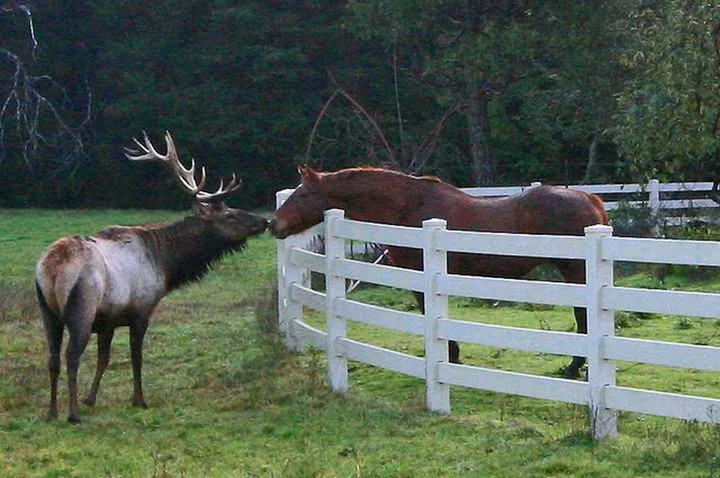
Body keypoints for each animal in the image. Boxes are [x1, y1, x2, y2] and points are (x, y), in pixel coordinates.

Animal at [35, 132, 268, 423]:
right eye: (229, 214)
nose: (264, 221)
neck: (165, 264)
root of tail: (51, 267)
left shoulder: (108, 320)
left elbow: (104, 358)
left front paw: (91, 399)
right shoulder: (141, 309)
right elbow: (136, 357)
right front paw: (139, 400)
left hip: (47, 311)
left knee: (53, 357)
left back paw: (52, 411)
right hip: (82, 306)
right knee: (71, 356)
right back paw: (73, 414)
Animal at [269, 165, 609, 378]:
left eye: (302, 195)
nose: (273, 224)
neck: (409, 208)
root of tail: (589, 198)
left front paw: (450, 355)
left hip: (576, 272)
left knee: (583, 318)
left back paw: (574, 366)